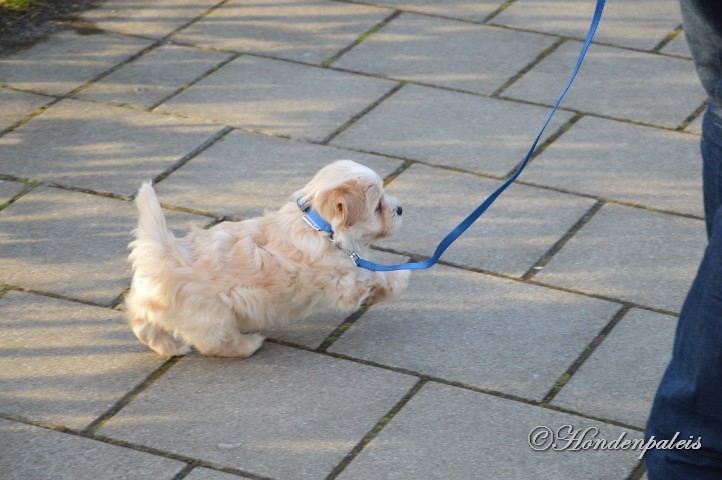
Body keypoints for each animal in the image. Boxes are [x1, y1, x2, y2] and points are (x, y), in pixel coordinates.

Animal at [124, 160, 410, 356]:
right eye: (378, 206)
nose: (399, 209)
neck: (319, 227)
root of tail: (163, 249)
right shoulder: (342, 281)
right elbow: (370, 276)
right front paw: (400, 277)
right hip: (210, 316)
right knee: (215, 342)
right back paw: (248, 344)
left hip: (151, 302)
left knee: (142, 323)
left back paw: (170, 347)